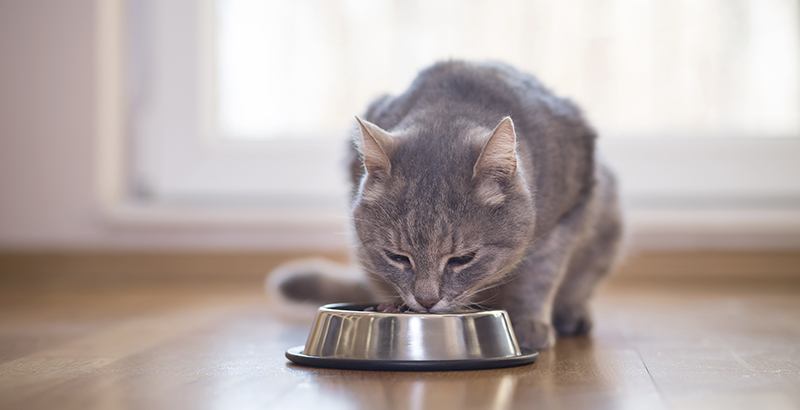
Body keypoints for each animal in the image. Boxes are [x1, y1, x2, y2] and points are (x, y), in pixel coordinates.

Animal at [276, 60, 624, 350]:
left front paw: (528, 323)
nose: (426, 301)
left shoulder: (568, 213)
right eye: (397, 257)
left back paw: (571, 313)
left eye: (463, 259)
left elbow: (541, 274)